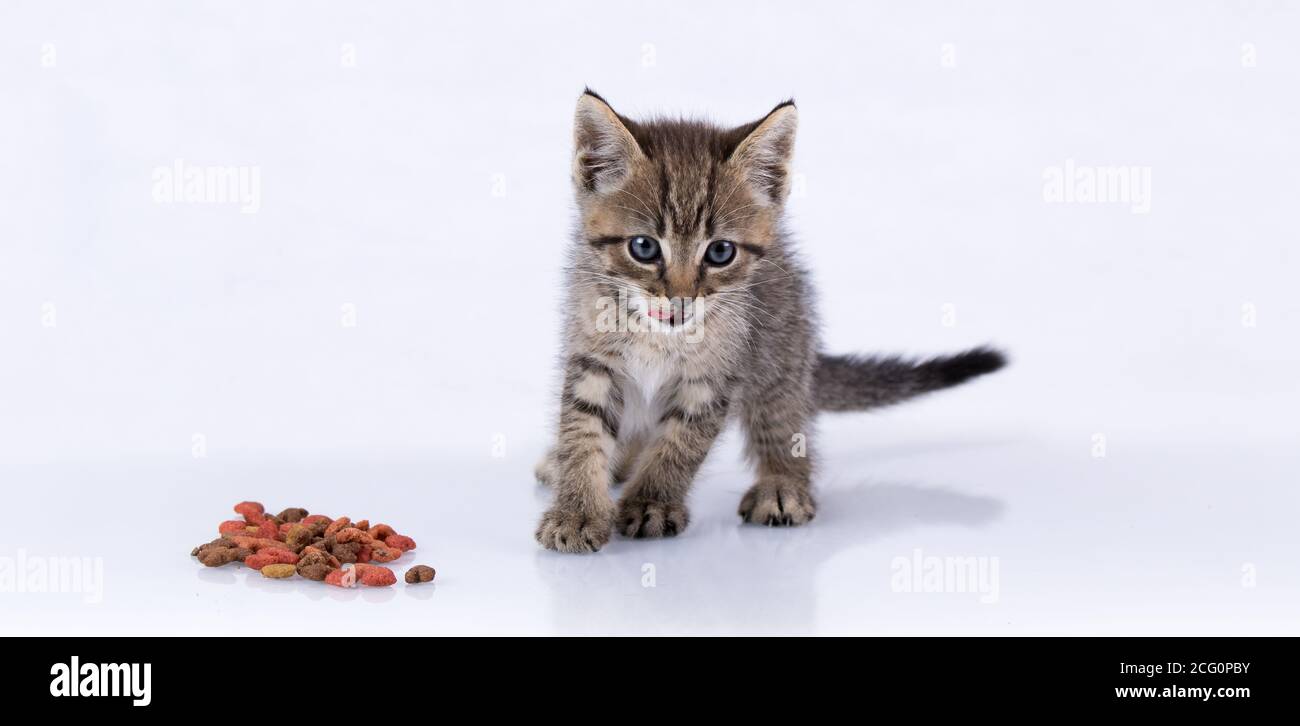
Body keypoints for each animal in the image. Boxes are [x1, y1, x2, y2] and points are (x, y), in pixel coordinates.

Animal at [533, 92, 998, 556]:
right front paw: (577, 510)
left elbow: (681, 444)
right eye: (643, 247)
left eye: (720, 252)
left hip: (781, 349)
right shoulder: (591, 357)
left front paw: (653, 502)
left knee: (784, 420)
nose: (680, 300)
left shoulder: (715, 376)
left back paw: (782, 483)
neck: (659, 337)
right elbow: (582, 432)